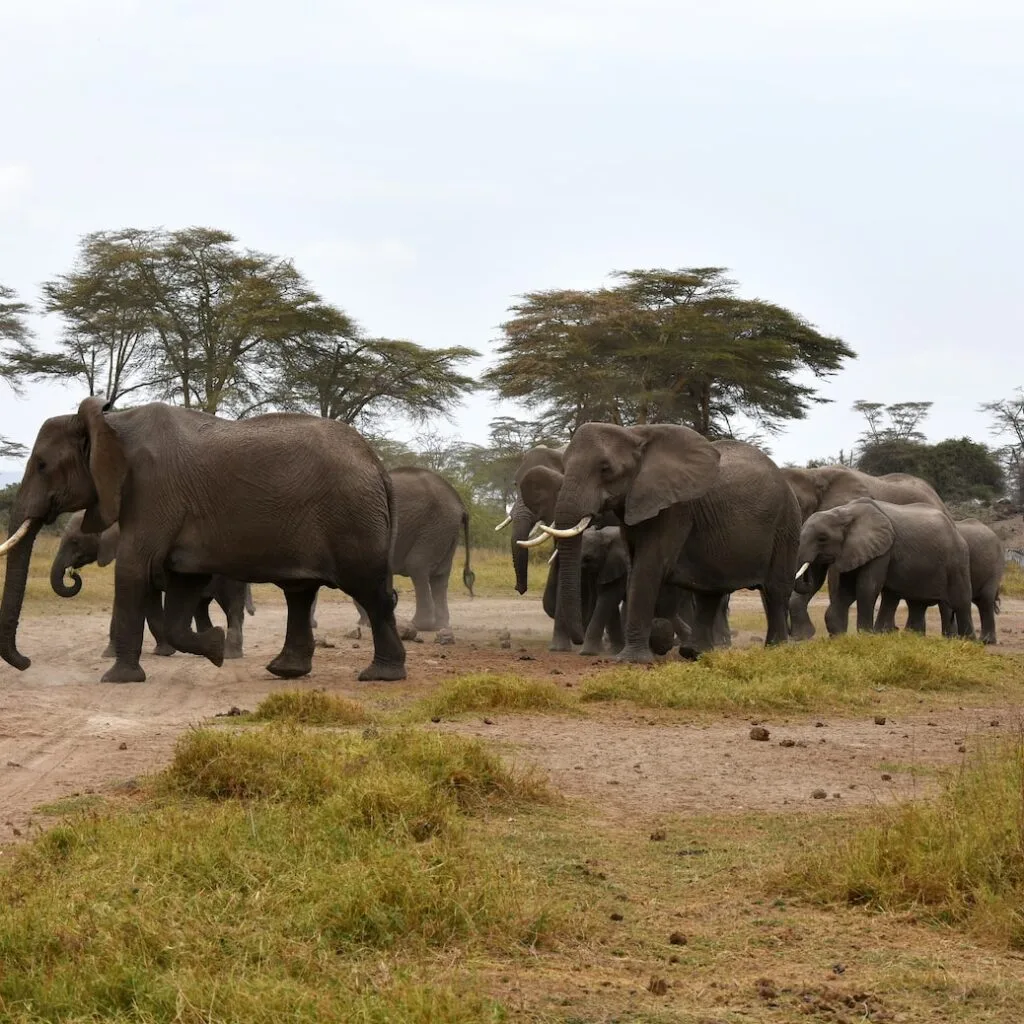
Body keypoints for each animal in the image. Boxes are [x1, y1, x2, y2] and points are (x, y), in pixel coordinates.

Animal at [50, 510, 255, 659]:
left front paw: (163, 652)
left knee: (232, 607)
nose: (72, 573)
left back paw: (230, 655)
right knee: (202, 607)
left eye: (75, 541)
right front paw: (110, 654)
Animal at [350, 465, 475, 631]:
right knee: (440, 577)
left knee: (417, 566)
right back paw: (440, 625)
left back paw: (418, 625)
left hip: (434, 528)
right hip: (447, 532)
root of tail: (461, 504)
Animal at [521, 423, 800, 662]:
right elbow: (634, 566)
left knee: (775, 590)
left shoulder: (675, 508)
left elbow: (649, 566)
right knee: (710, 591)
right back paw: (694, 653)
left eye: (605, 468)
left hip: (786, 524)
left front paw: (630, 660)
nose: (577, 639)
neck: (635, 435)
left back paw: (776, 650)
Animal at [794, 498, 974, 638]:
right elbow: (846, 590)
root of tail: (956, 529)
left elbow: (866, 587)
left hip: (957, 561)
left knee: (961, 602)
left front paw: (865, 636)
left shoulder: (883, 550)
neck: (844, 512)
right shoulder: (854, 550)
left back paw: (968, 642)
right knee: (913, 602)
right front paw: (839, 636)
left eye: (822, 538)